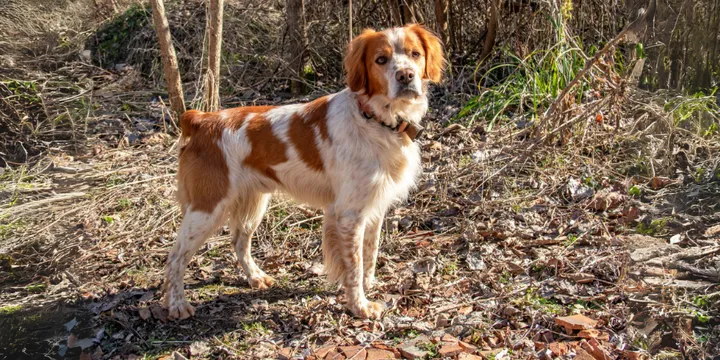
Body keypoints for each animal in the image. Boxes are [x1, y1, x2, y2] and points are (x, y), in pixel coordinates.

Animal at [165, 23, 444, 320]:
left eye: (415, 54)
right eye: (381, 59)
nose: (406, 76)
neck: (375, 119)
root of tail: (201, 119)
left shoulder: (374, 206)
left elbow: (371, 251)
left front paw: (370, 284)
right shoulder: (349, 214)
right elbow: (354, 264)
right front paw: (360, 305)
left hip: (253, 204)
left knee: (239, 242)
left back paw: (255, 277)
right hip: (207, 208)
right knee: (175, 257)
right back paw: (177, 304)